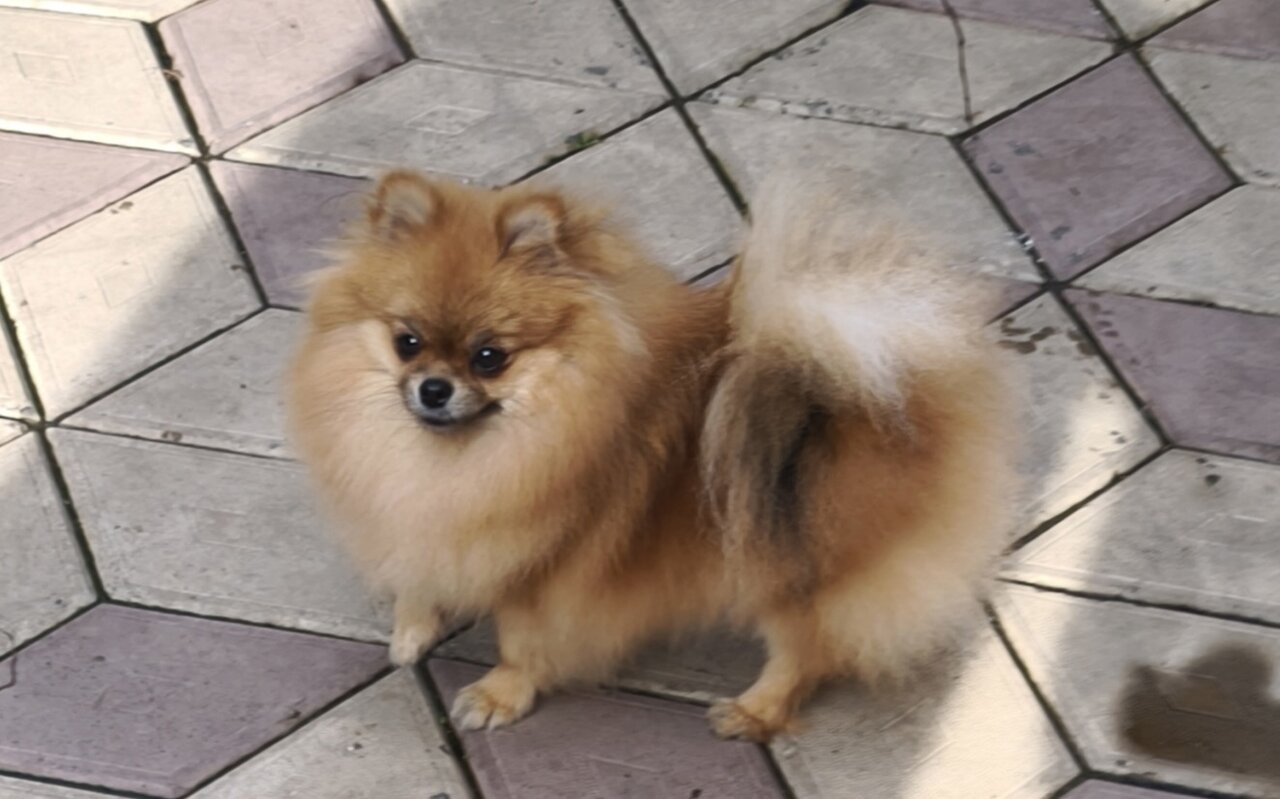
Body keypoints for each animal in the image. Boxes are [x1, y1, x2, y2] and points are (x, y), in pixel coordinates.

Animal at [286, 167, 1016, 740]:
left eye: (490, 356)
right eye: (407, 341)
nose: (433, 388)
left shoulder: (546, 568)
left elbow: (522, 640)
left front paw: (499, 694)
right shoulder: (426, 519)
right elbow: (419, 574)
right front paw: (413, 629)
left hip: (787, 566)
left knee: (807, 648)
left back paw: (753, 711)